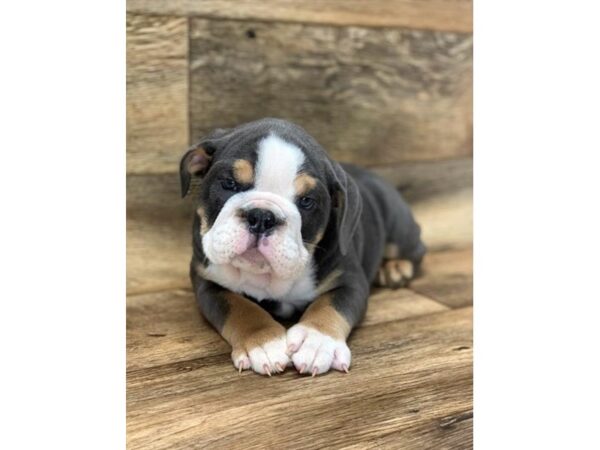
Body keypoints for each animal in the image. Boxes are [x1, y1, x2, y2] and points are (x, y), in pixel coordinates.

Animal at [179, 117, 426, 376]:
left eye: (307, 201)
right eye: (229, 183)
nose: (262, 217)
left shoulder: (349, 280)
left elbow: (329, 305)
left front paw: (317, 341)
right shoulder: (208, 281)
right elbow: (240, 307)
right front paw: (264, 341)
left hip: (400, 229)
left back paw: (394, 268)